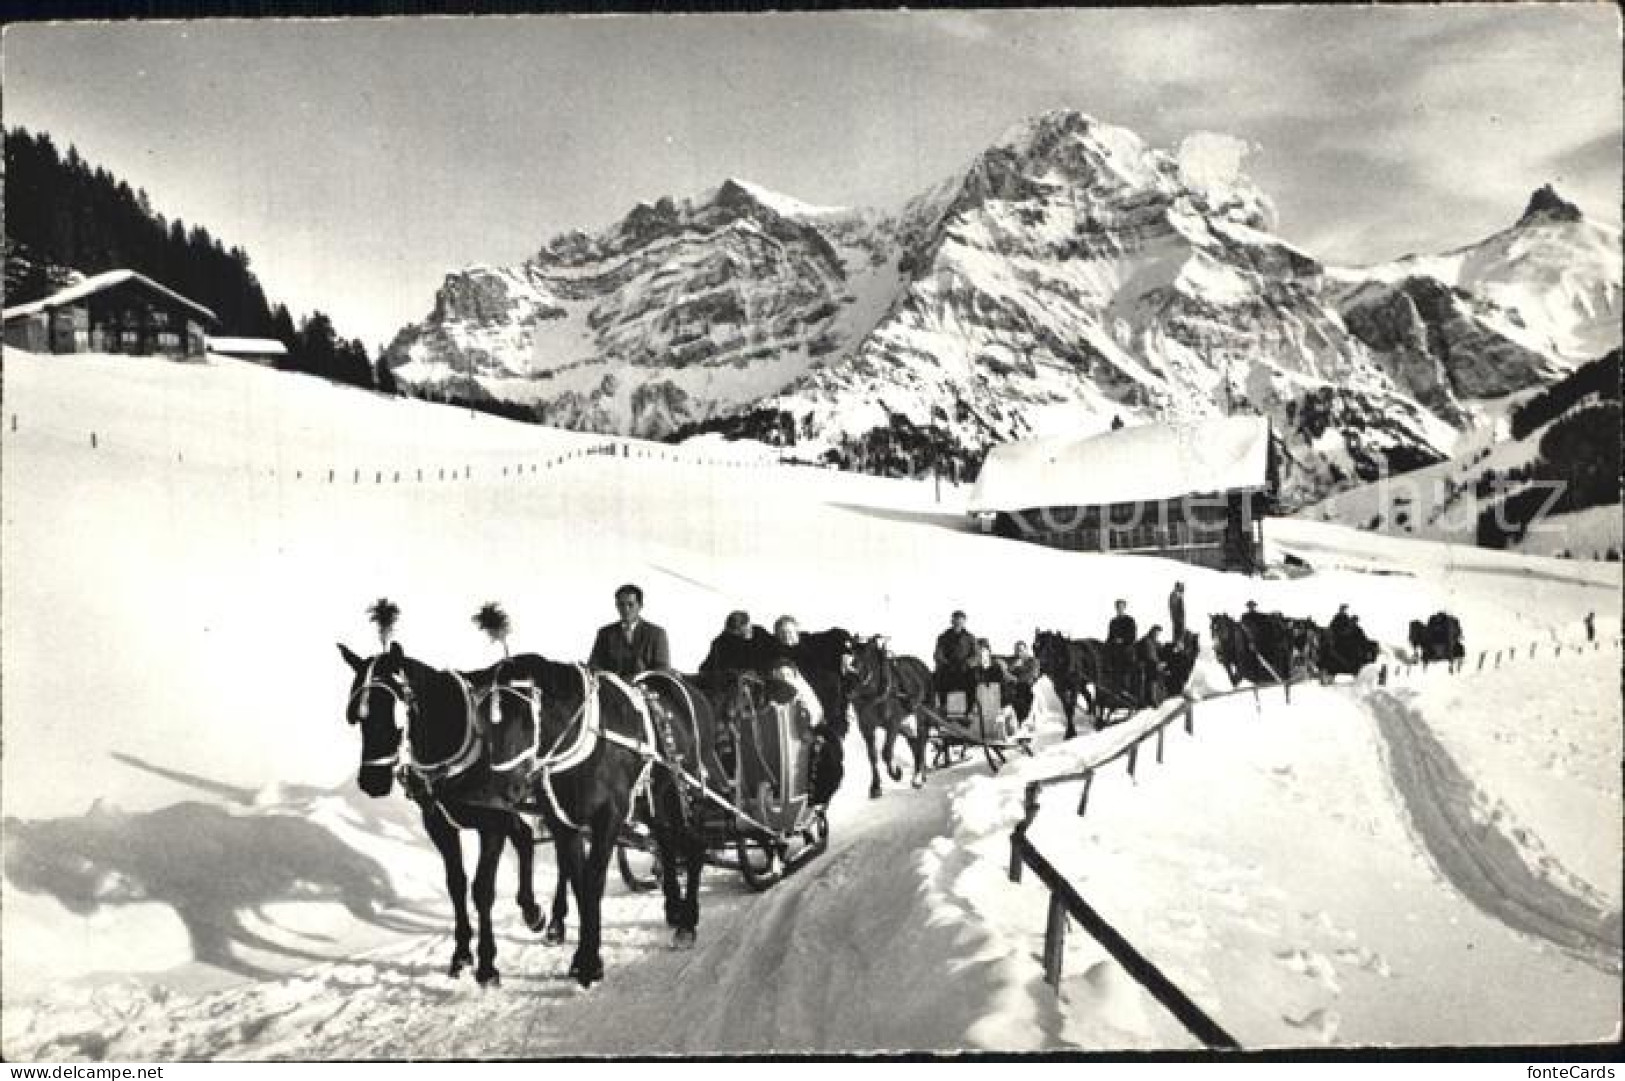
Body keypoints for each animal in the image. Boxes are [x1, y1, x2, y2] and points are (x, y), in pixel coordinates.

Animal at [339, 640, 549, 988]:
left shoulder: (492, 824)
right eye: (356, 716)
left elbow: (482, 890)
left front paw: (487, 965)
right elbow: (456, 885)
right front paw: (462, 954)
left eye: (393, 712)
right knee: (525, 836)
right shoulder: (439, 825)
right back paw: (532, 911)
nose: (371, 782)